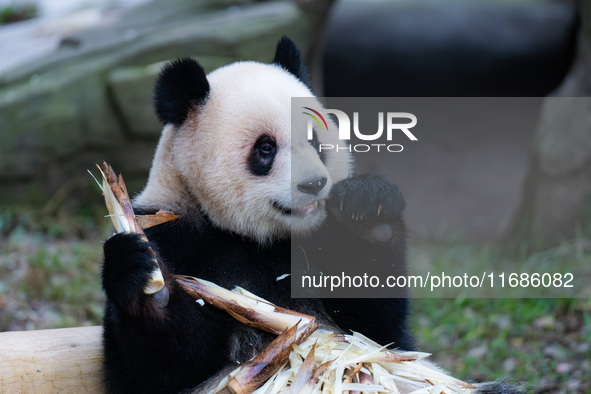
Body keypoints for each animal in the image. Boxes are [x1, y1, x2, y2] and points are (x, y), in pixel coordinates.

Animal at [102, 37, 520, 394]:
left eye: (316, 140)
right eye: (265, 149)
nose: (314, 184)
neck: (260, 239)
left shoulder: (320, 242)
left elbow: (381, 333)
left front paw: (370, 213)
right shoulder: (176, 234)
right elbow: (156, 368)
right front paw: (147, 283)